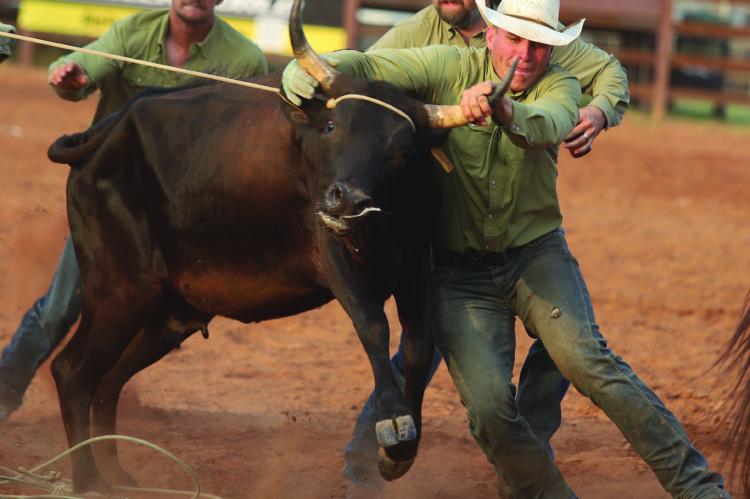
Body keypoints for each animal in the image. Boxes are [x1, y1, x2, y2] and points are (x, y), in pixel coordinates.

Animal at [46, 0, 514, 493]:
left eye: (402, 149)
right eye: (331, 125)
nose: (346, 198)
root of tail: (105, 135)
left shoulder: (415, 262)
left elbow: (421, 344)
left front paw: (400, 452)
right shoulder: (332, 252)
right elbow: (372, 325)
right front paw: (392, 425)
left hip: (168, 315)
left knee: (107, 382)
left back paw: (116, 473)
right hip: (119, 293)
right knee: (73, 373)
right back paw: (88, 480)